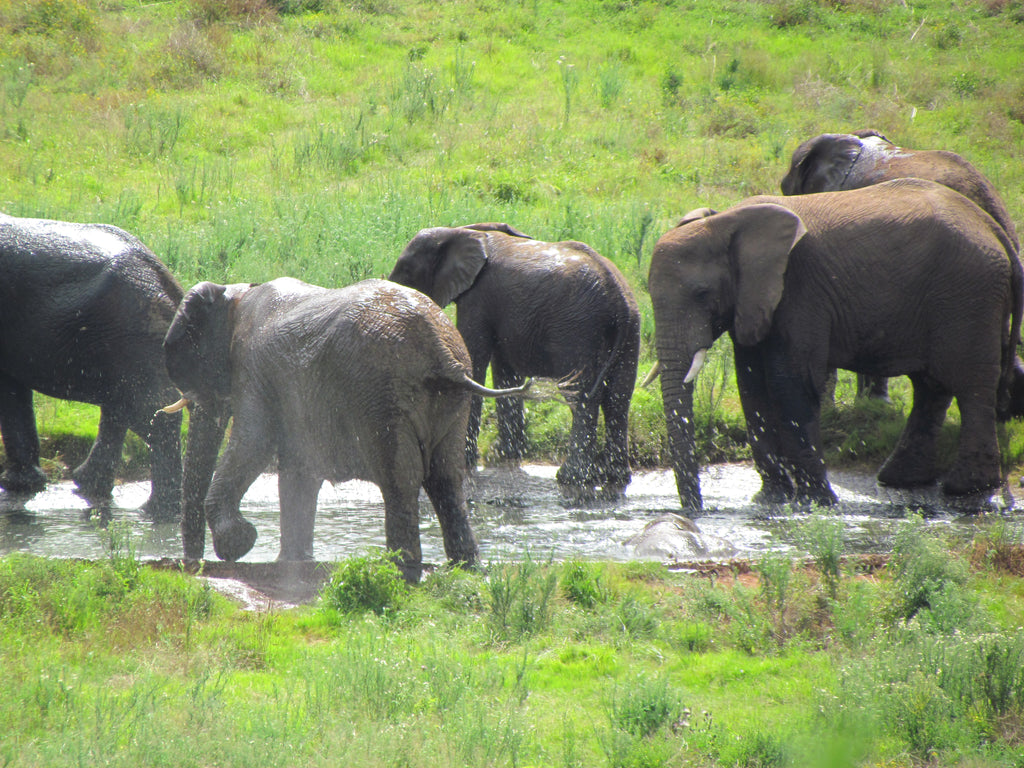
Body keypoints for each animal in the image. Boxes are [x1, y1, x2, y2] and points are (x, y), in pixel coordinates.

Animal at [0, 214, 185, 519]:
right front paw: (23, 486)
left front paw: (15, 486)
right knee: (122, 408)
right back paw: (88, 486)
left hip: (127, 336)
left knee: (150, 413)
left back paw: (157, 512)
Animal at [162, 276, 530, 576]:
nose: (194, 565)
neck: (235, 293)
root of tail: (441, 350)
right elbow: (298, 470)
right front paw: (292, 562)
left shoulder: (252, 369)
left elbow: (253, 444)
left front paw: (240, 542)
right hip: (449, 400)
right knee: (446, 478)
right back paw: (465, 565)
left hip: (381, 394)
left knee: (400, 478)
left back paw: (402, 567)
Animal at [388, 222, 641, 500]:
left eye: (406, 270)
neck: (460, 230)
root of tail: (618, 297)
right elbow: (505, 371)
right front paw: (503, 456)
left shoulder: (478, 297)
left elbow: (474, 361)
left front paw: (466, 460)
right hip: (631, 330)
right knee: (618, 397)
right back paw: (616, 477)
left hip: (580, 330)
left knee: (583, 397)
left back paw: (571, 478)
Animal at [648, 178, 1021, 513]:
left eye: (701, 294)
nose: (695, 510)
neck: (726, 221)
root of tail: (993, 228)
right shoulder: (753, 299)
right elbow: (752, 389)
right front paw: (770, 500)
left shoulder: (799, 288)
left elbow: (790, 385)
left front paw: (815, 503)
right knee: (931, 386)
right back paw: (901, 480)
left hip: (970, 294)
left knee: (970, 385)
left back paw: (965, 490)